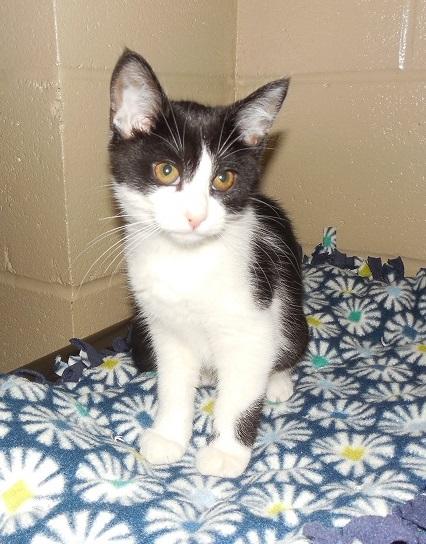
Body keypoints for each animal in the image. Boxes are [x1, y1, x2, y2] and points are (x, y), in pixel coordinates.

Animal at [109, 49, 308, 478]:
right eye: (166, 170)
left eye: (224, 179)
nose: (195, 216)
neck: (187, 263)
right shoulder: (163, 327)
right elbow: (171, 382)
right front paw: (169, 436)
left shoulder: (252, 324)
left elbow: (242, 394)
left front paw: (227, 452)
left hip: (289, 311)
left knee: (289, 346)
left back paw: (278, 381)